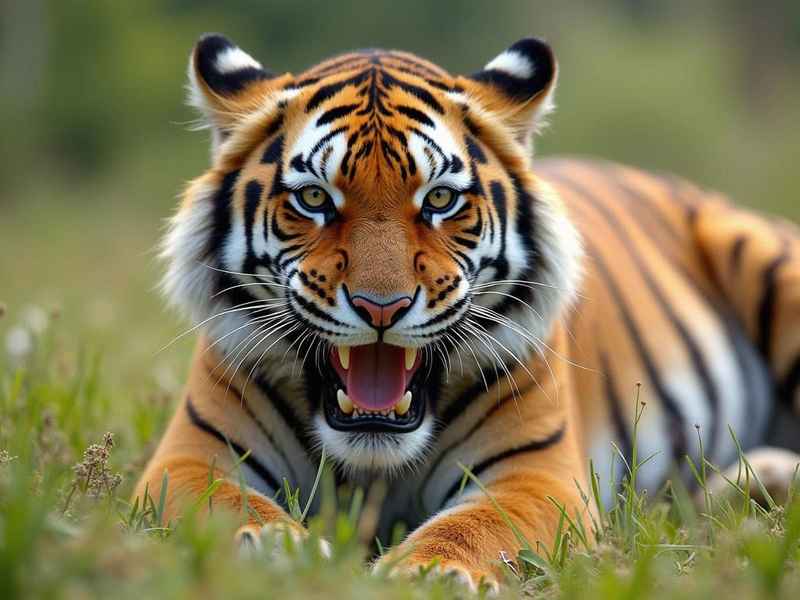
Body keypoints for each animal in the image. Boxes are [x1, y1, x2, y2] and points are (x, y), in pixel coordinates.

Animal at [135, 33, 800, 591]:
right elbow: (228, 508)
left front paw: (427, 575)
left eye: (439, 200)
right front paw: (279, 550)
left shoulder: (536, 475)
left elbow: (474, 526)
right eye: (315, 198)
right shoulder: (189, 458)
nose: (382, 307)